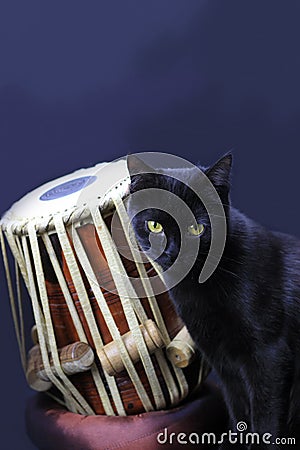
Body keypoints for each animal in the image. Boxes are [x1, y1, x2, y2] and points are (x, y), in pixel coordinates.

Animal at [126, 154, 300, 446]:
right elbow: (240, 416)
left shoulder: (270, 355)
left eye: (197, 228)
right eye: (155, 225)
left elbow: (266, 422)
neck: (199, 291)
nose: (175, 251)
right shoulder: (223, 363)